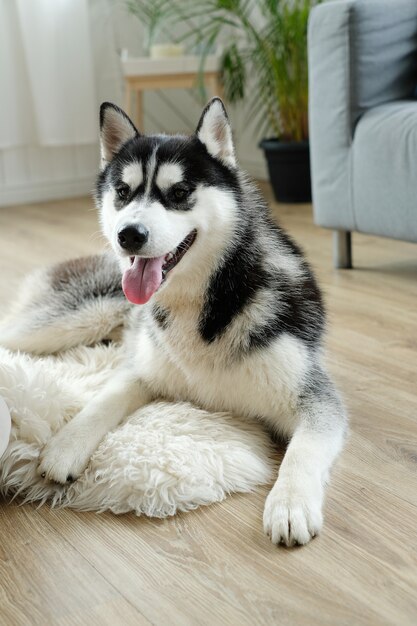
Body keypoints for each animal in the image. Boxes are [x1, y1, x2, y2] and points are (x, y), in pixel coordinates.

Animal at [5, 98, 348, 544]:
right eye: (123, 192)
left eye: (180, 193)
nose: (128, 235)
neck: (207, 299)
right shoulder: (142, 367)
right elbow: (103, 400)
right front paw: (66, 446)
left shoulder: (314, 398)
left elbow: (302, 450)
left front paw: (289, 503)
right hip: (72, 321)